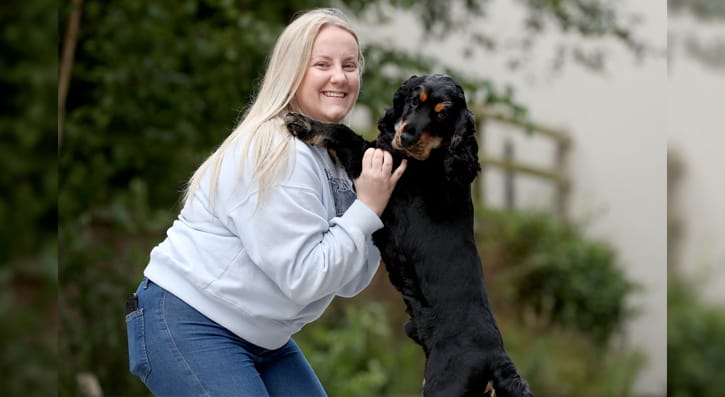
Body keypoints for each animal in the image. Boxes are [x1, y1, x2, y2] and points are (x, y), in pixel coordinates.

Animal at [284, 74, 532, 396]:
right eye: (415, 101)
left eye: (442, 114)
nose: (408, 137)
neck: (436, 159)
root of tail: (496, 357)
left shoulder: (375, 165)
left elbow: (344, 133)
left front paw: (304, 123)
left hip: (444, 385)